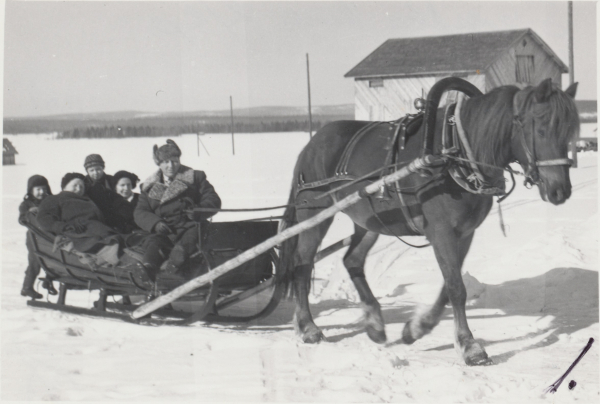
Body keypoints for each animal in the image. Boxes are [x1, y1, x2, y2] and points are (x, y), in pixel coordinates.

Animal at [278, 76, 580, 366]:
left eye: (568, 132)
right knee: (302, 265)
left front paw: (416, 329)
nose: (560, 191)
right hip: (314, 214)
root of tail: (312, 143)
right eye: (541, 130)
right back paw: (308, 327)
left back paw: (374, 323)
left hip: (369, 221)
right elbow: (456, 288)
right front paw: (469, 346)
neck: (456, 155)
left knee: (352, 260)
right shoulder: (441, 231)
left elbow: (449, 286)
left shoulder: (464, 233)